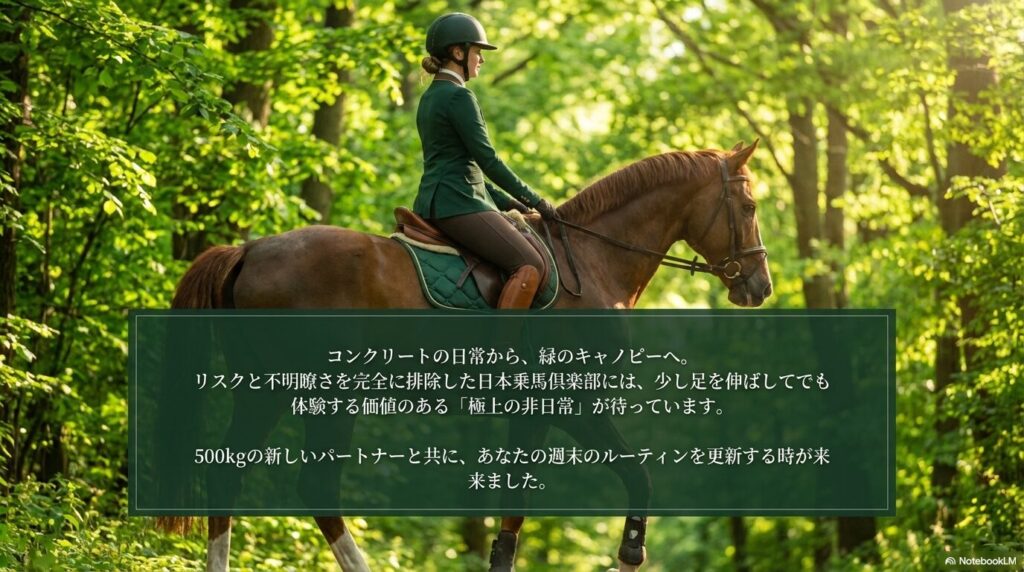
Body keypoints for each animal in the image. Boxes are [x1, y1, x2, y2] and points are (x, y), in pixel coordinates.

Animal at [156, 141, 772, 571]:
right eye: (748, 204)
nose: (760, 286)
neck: (595, 262)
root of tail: (250, 249)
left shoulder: (536, 411)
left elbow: (519, 504)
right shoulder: (570, 404)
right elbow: (633, 477)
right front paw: (629, 556)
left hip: (272, 392)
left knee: (234, 478)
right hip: (313, 394)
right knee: (311, 489)